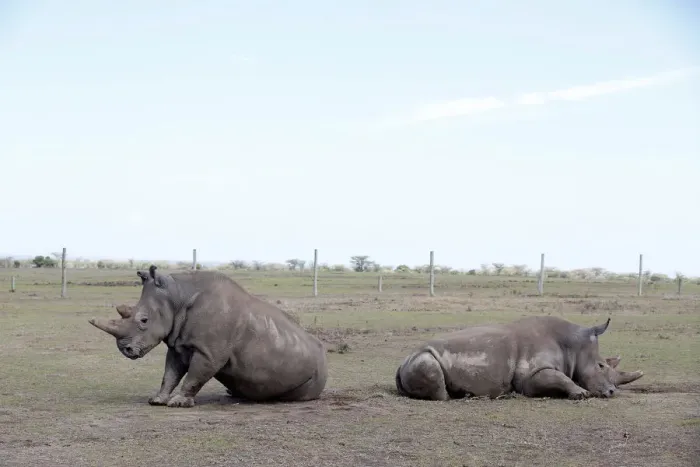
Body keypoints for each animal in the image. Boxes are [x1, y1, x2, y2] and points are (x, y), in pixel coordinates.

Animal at [88, 265, 328, 408]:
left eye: (144, 320)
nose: (126, 350)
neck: (177, 296)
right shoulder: (178, 344)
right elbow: (170, 373)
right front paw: (157, 400)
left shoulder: (209, 352)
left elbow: (194, 375)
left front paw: (178, 403)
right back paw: (233, 394)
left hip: (316, 371)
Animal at [395, 315, 642, 401]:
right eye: (601, 365)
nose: (612, 392)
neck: (573, 346)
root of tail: (400, 364)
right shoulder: (530, 377)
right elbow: (560, 378)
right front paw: (581, 394)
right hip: (422, 358)